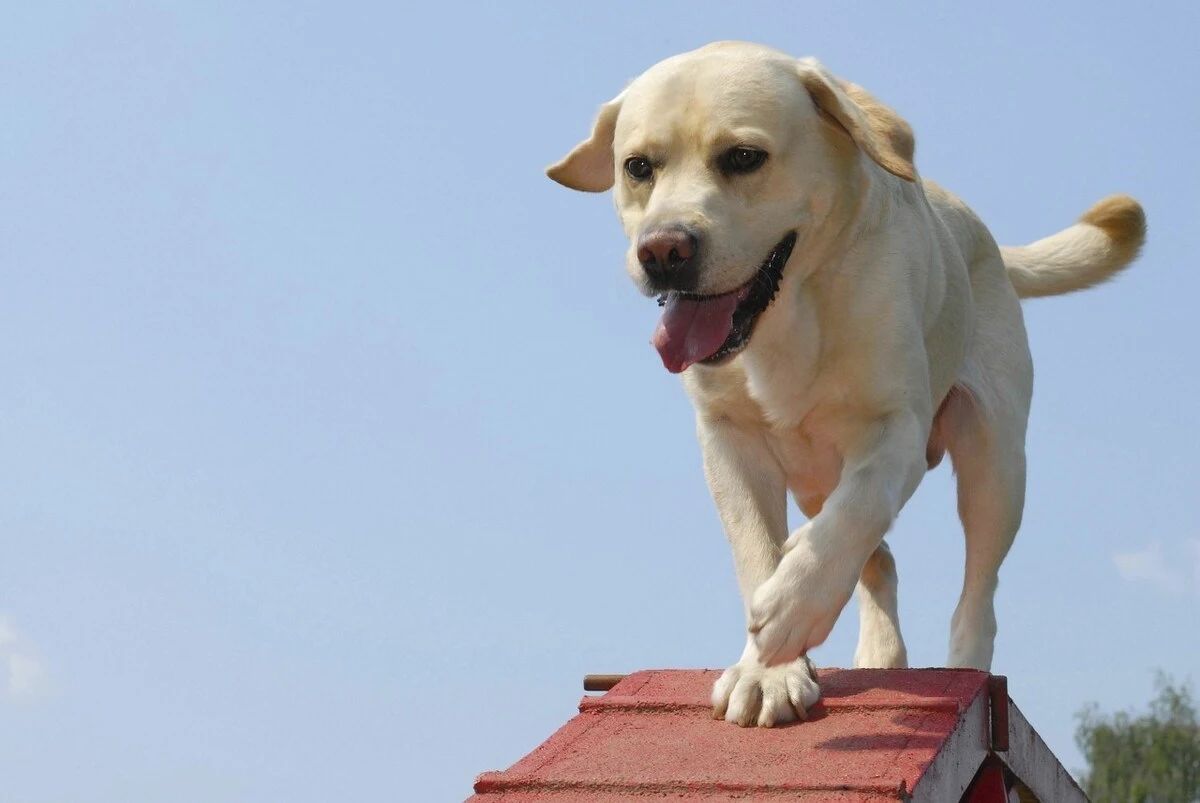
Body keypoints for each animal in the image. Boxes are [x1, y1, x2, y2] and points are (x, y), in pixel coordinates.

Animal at [544, 42, 1142, 724]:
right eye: (638, 167)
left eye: (743, 157)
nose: (663, 251)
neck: (786, 320)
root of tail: (984, 236)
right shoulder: (728, 440)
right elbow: (758, 550)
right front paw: (768, 670)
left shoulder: (895, 427)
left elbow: (856, 513)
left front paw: (788, 613)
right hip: (815, 477)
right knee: (877, 559)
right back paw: (877, 651)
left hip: (995, 464)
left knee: (977, 588)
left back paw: (966, 667)